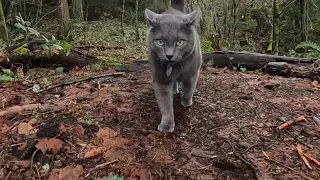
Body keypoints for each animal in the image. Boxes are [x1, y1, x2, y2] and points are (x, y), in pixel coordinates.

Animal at [146, 0, 202, 132]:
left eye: (180, 42)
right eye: (160, 42)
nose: (169, 55)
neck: (176, 67)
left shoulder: (192, 73)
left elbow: (189, 89)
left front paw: (186, 102)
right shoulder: (161, 79)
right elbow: (165, 103)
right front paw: (167, 125)